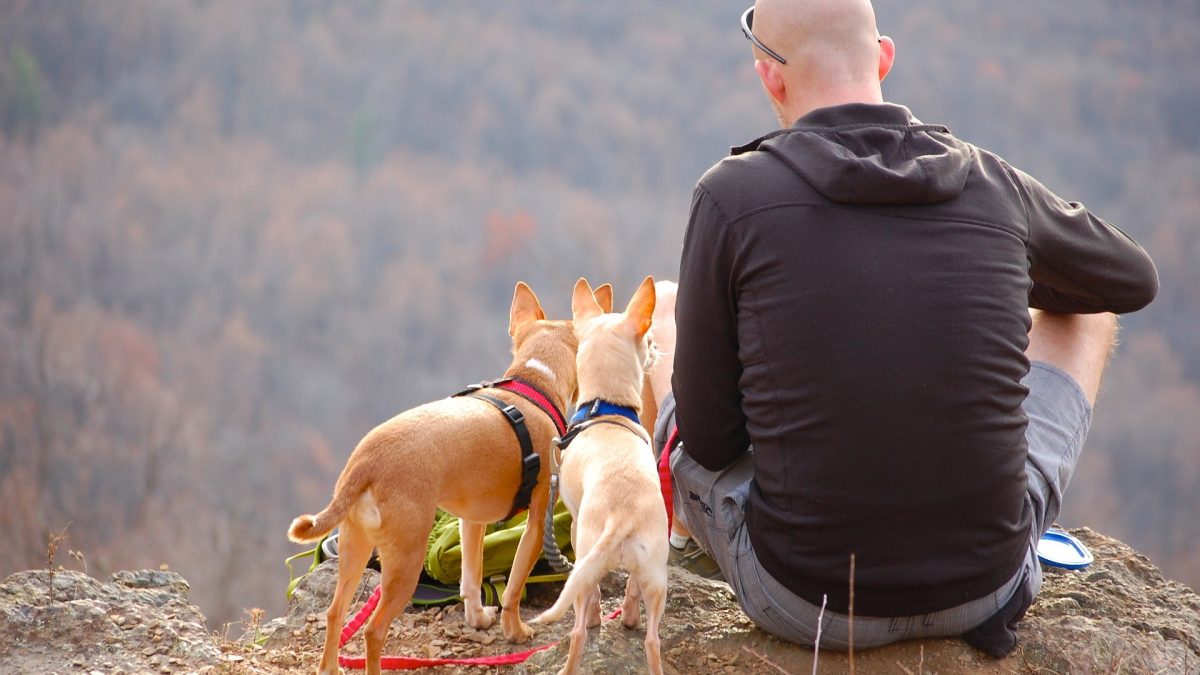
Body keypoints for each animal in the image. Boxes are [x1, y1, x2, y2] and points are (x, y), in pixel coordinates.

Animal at [285, 281, 576, 672]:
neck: (533, 384)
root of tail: (366, 462)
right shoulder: (535, 521)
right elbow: (514, 585)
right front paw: (515, 631)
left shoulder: (472, 521)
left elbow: (471, 576)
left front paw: (478, 617)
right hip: (405, 562)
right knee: (373, 631)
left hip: (354, 547)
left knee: (335, 613)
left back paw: (330, 666)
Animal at [532, 277, 672, 672]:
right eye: (649, 341)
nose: (657, 350)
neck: (605, 407)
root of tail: (622, 516)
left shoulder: (575, 523)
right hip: (656, 573)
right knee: (652, 636)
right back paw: (633, 623)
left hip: (586, 554)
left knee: (580, 626)